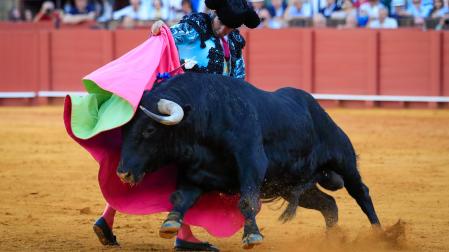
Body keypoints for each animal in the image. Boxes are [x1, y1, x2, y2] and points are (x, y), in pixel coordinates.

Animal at [115, 72, 378, 249]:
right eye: (125, 128)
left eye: (149, 130)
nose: (122, 172)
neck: (207, 115)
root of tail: (316, 108)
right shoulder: (196, 173)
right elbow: (181, 198)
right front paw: (170, 223)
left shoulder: (251, 162)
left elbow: (247, 202)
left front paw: (252, 235)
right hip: (291, 185)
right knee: (329, 204)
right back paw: (331, 241)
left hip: (343, 159)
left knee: (361, 192)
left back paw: (380, 235)